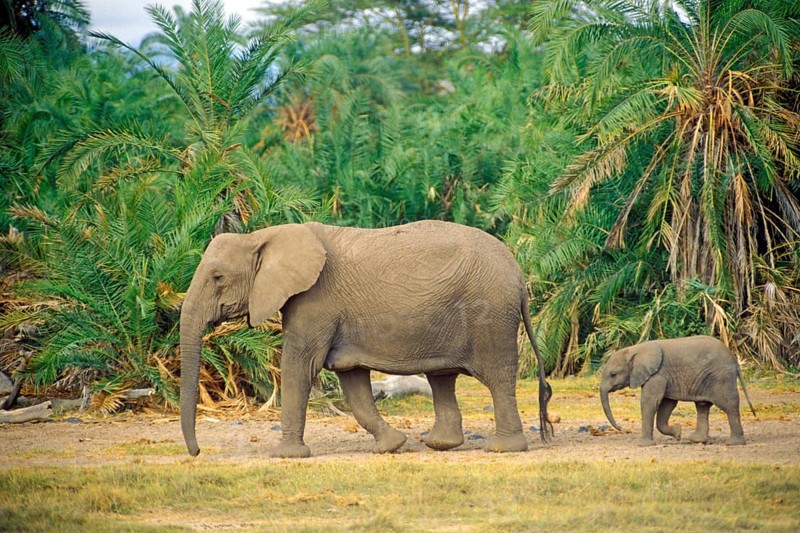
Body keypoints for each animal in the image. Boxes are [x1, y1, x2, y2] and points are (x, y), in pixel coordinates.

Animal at [179, 220, 552, 458]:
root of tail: (519, 275)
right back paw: (439, 445)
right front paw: (392, 446)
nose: (197, 453)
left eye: (217, 277)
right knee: (442, 377)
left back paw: (502, 449)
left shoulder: (315, 302)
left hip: (490, 315)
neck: (261, 236)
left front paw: (285, 455)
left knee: (497, 377)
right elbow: (351, 378)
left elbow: (300, 365)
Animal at [600, 335, 756, 446]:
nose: (622, 428)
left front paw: (643, 445)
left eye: (613, 374)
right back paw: (695, 440)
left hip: (721, 377)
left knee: (728, 405)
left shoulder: (658, 375)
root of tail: (735, 360)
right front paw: (678, 433)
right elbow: (666, 404)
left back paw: (734, 443)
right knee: (703, 406)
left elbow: (650, 402)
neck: (634, 350)